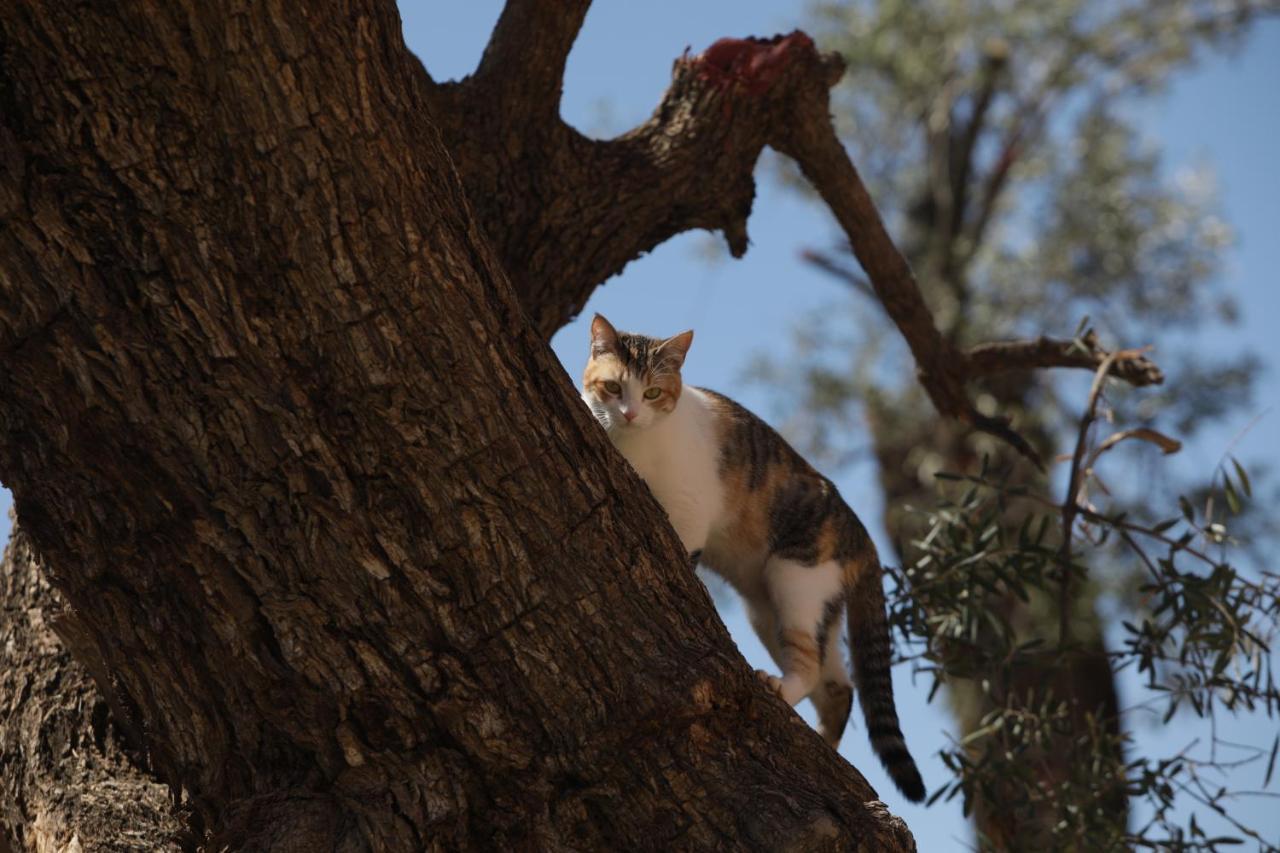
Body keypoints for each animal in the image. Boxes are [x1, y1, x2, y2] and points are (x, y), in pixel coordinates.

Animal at [586, 313, 926, 804]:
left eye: (652, 393)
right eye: (613, 388)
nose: (629, 413)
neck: (634, 444)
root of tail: (864, 537)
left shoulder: (689, 515)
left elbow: (683, 552)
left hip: (795, 580)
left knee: (811, 668)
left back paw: (781, 688)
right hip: (778, 610)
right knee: (839, 687)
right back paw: (825, 742)